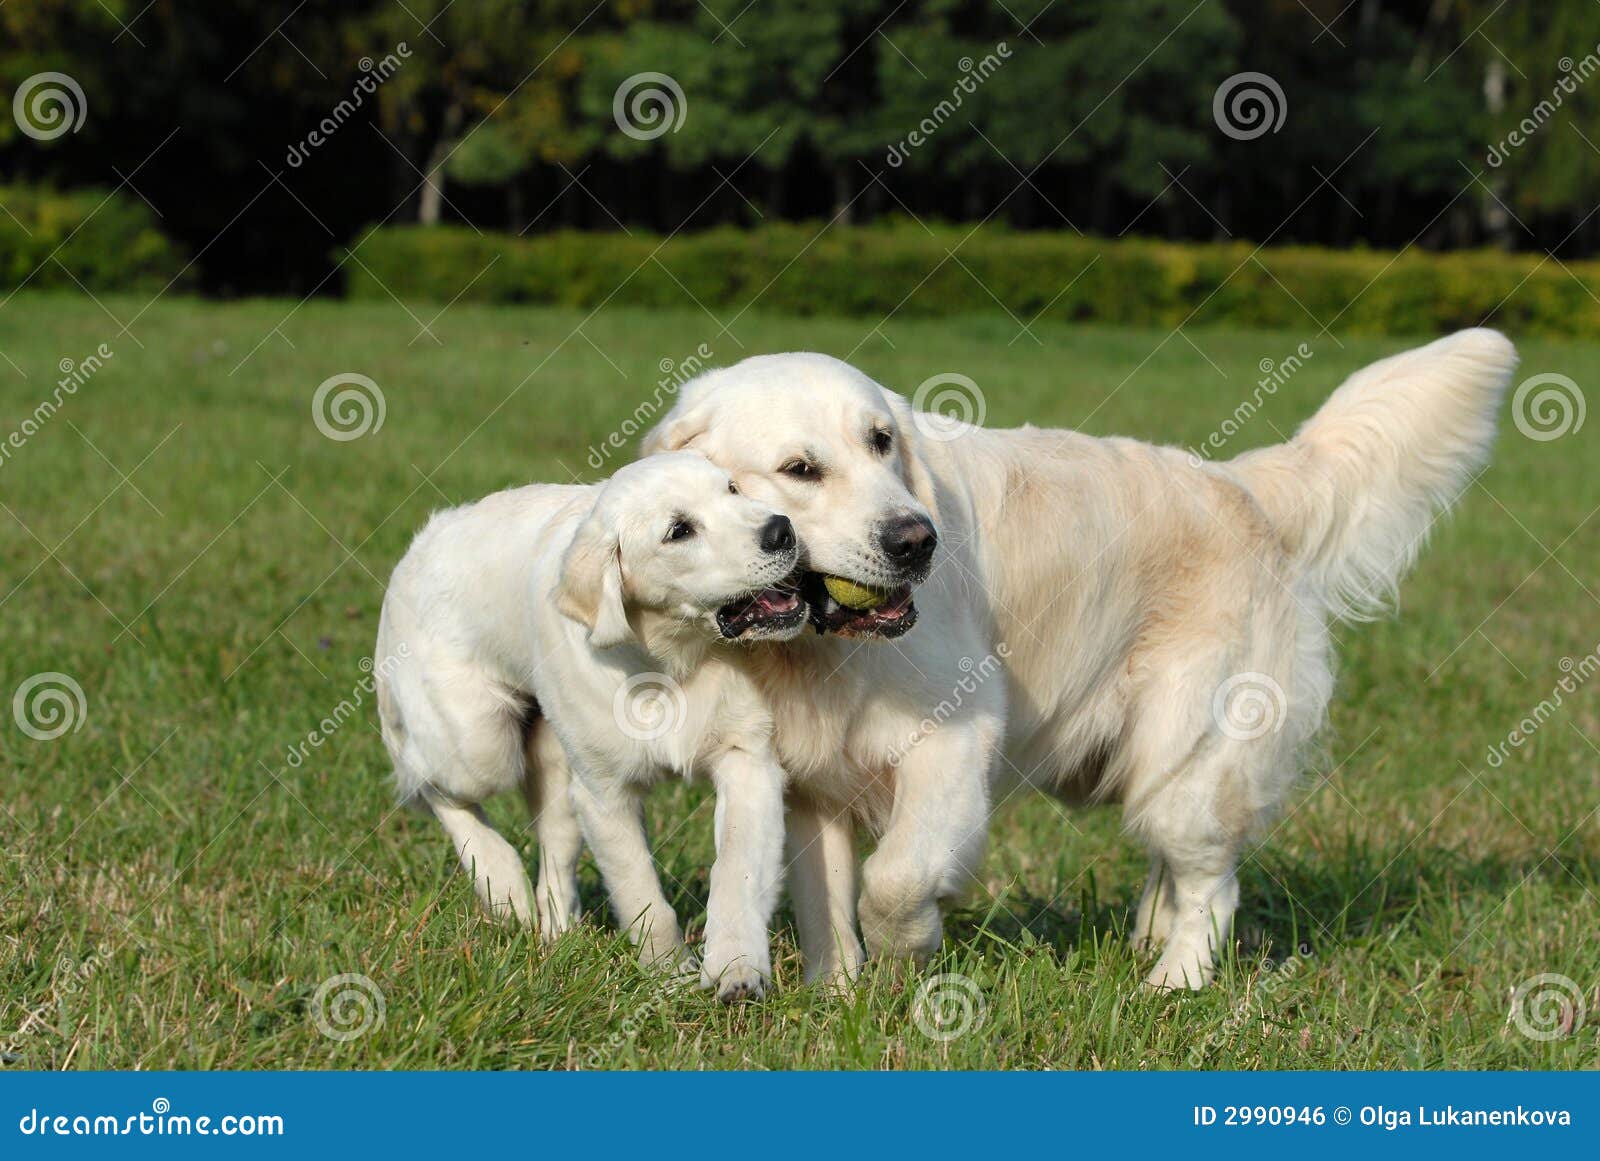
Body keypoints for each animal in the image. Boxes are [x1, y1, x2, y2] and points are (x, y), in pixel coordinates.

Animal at [369, 454, 806, 997]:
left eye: (732, 489)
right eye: (679, 530)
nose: (781, 529)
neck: (667, 662)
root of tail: (419, 546)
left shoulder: (746, 758)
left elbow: (737, 870)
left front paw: (735, 968)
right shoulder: (604, 793)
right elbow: (640, 891)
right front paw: (666, 973)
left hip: (554, 765)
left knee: (552, 854)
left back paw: (554, 931)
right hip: (477, 745)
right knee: (430, 787)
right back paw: (501, 884)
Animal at [643, 329, 1516, 991]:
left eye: (882, 442)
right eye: (800, 469)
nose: (917, 539)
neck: (820, 651)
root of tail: (1241, 484)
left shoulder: (955, 738)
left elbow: (895, 879)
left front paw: (908, 954)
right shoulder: (806, 778)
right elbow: (825, 900)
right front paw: (839, 992)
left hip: (1192, 754)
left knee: (1214, 878)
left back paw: (1175, 981)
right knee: (1176, 869)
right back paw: (1149, 940)